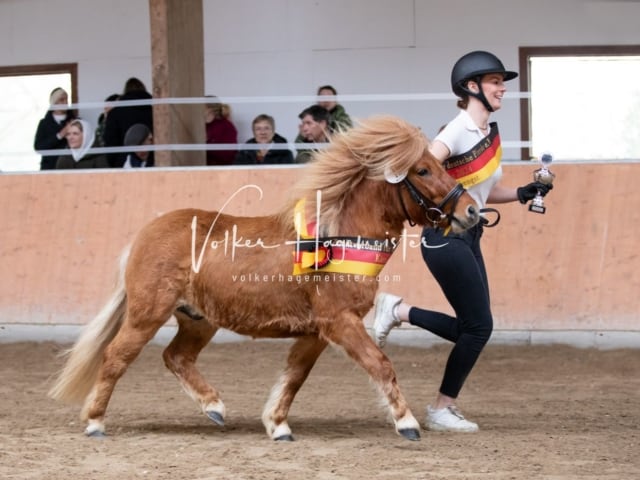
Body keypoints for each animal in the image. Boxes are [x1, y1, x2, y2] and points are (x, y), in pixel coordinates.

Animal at [48, 115, 480, 442]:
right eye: (423, 170)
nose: (472, 212)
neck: (337, 237)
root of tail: (144, 234)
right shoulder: (340, 322)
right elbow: (380, 364)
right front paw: (406, 422)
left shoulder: (316, 331)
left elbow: (294, 377)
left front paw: (277, 424)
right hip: (147, 315)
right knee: (115, 357)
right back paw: (95, 421)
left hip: (198, 319)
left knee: (177, 357)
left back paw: (214, 407)